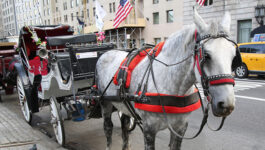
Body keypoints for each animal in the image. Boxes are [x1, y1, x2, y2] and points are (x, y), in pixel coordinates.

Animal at [95, 9, 237, 150]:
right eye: (206, 55)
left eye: (234, 56)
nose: (226, 105)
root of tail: (106, 53)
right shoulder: (149, 129)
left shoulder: (180, 128)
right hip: (105, 103)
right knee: (108, 128)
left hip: (123, 103)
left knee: (125, 125)